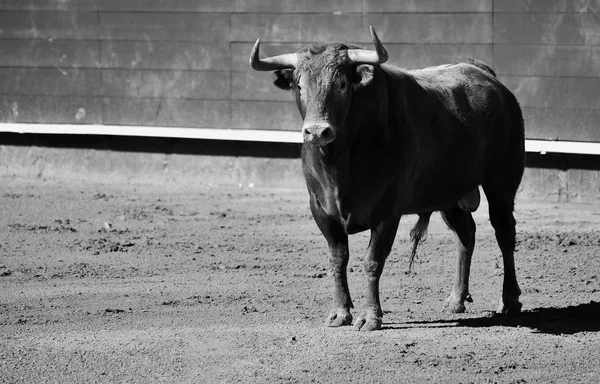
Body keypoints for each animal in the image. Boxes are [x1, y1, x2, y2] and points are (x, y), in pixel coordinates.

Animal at [248, 27, 524, 332]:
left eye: (342, 84)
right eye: (300, 85)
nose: (317, 131)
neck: (340, 161)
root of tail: (487, 77)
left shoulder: (386, 212)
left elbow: (372, 261)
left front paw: (370, 317)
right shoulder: (320, 209)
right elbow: (337, 259)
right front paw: (339, 313)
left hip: (501, 181)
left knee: (504, 233)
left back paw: (509, 300)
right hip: (448, 193)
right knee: (465, 235)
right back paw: (456, 299)